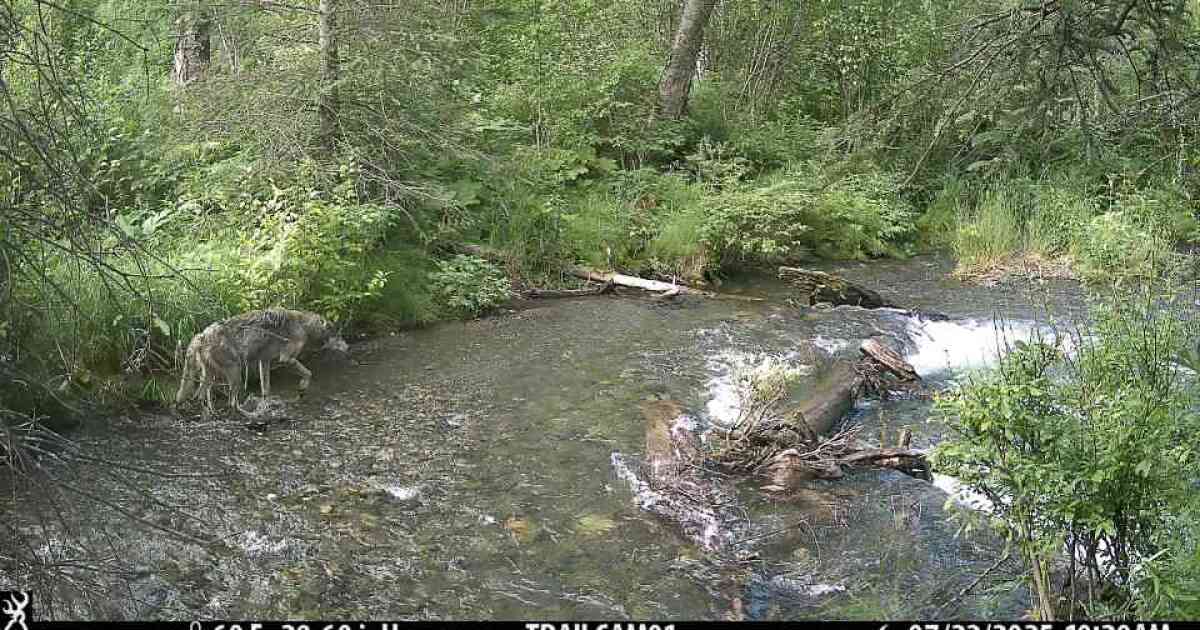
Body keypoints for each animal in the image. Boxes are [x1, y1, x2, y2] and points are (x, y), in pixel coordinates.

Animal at [176, 308, 349, 414]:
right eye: (338, 335)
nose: (348, 347)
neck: (303, 325)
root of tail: (202, 335)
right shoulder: (285, 359)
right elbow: (308, 373)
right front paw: (302, 388)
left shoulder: (264, 361)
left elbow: (266, 388)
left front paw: (266, 405)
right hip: (234, 374)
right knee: (231, 402)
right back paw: (244, 413)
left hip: (211, 375)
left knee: (200, 395)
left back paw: (210, 413)